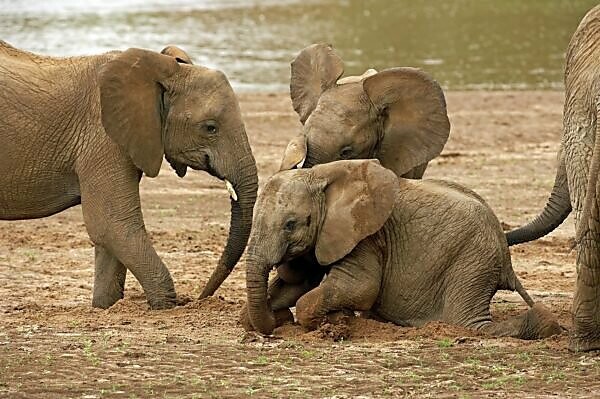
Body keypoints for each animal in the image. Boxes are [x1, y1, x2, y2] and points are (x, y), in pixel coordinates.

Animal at [0, 41, 258, 310]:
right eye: (210, 128)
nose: (199, 299)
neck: (159, 71)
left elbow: (109, 236)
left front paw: (105, 307)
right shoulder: (103, 138)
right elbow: (112, 224)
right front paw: (165, 307)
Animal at [241, 159, 560, 340]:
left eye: (290, 224)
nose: (274, 324)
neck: (321, 176)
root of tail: (505, 254)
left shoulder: (368, 235)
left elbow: (359, 286)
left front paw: (337, 322)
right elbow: (297, 284)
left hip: (472, 261)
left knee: (467, 322)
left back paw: (543, 324)